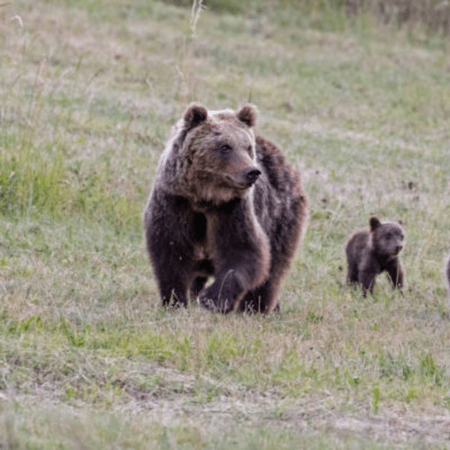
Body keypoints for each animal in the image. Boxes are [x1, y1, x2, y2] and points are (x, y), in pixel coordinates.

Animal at [144, 103, 310, 312]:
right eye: (225, 146)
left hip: (281, 217)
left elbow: (244, 251)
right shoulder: (176, 203)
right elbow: (171, 251)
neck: (205, 197)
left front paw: (213, 298)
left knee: (273, 269)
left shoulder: (231, 210)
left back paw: (255, 307)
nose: (252, 172)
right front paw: (175, 300)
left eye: (247, 147)